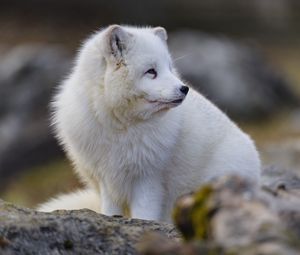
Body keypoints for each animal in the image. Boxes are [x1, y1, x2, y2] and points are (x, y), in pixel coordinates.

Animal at [38, 24, 262, 222]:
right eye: (151, 71)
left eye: (169, 68)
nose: (184, 89)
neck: (120, 127)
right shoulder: (107, 179)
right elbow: (110, 211)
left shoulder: (149, 178)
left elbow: (145, 215)